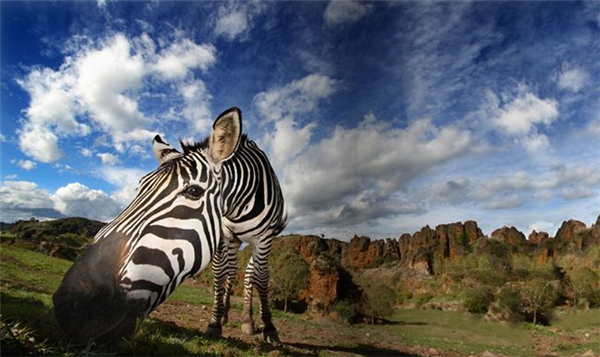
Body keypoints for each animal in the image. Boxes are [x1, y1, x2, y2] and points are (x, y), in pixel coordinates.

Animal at [53, 107, 286, 344]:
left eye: (194, 191)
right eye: (139, 187)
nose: (70, 303)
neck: (240, 203)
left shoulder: (265, 238)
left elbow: (262, 278)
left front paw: (269, 328)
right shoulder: (222, 233)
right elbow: (220, 274)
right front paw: (215, 322)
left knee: (249, 274)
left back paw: (248, 319)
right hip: (232, 241)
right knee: (230, 271)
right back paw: (226, 314)